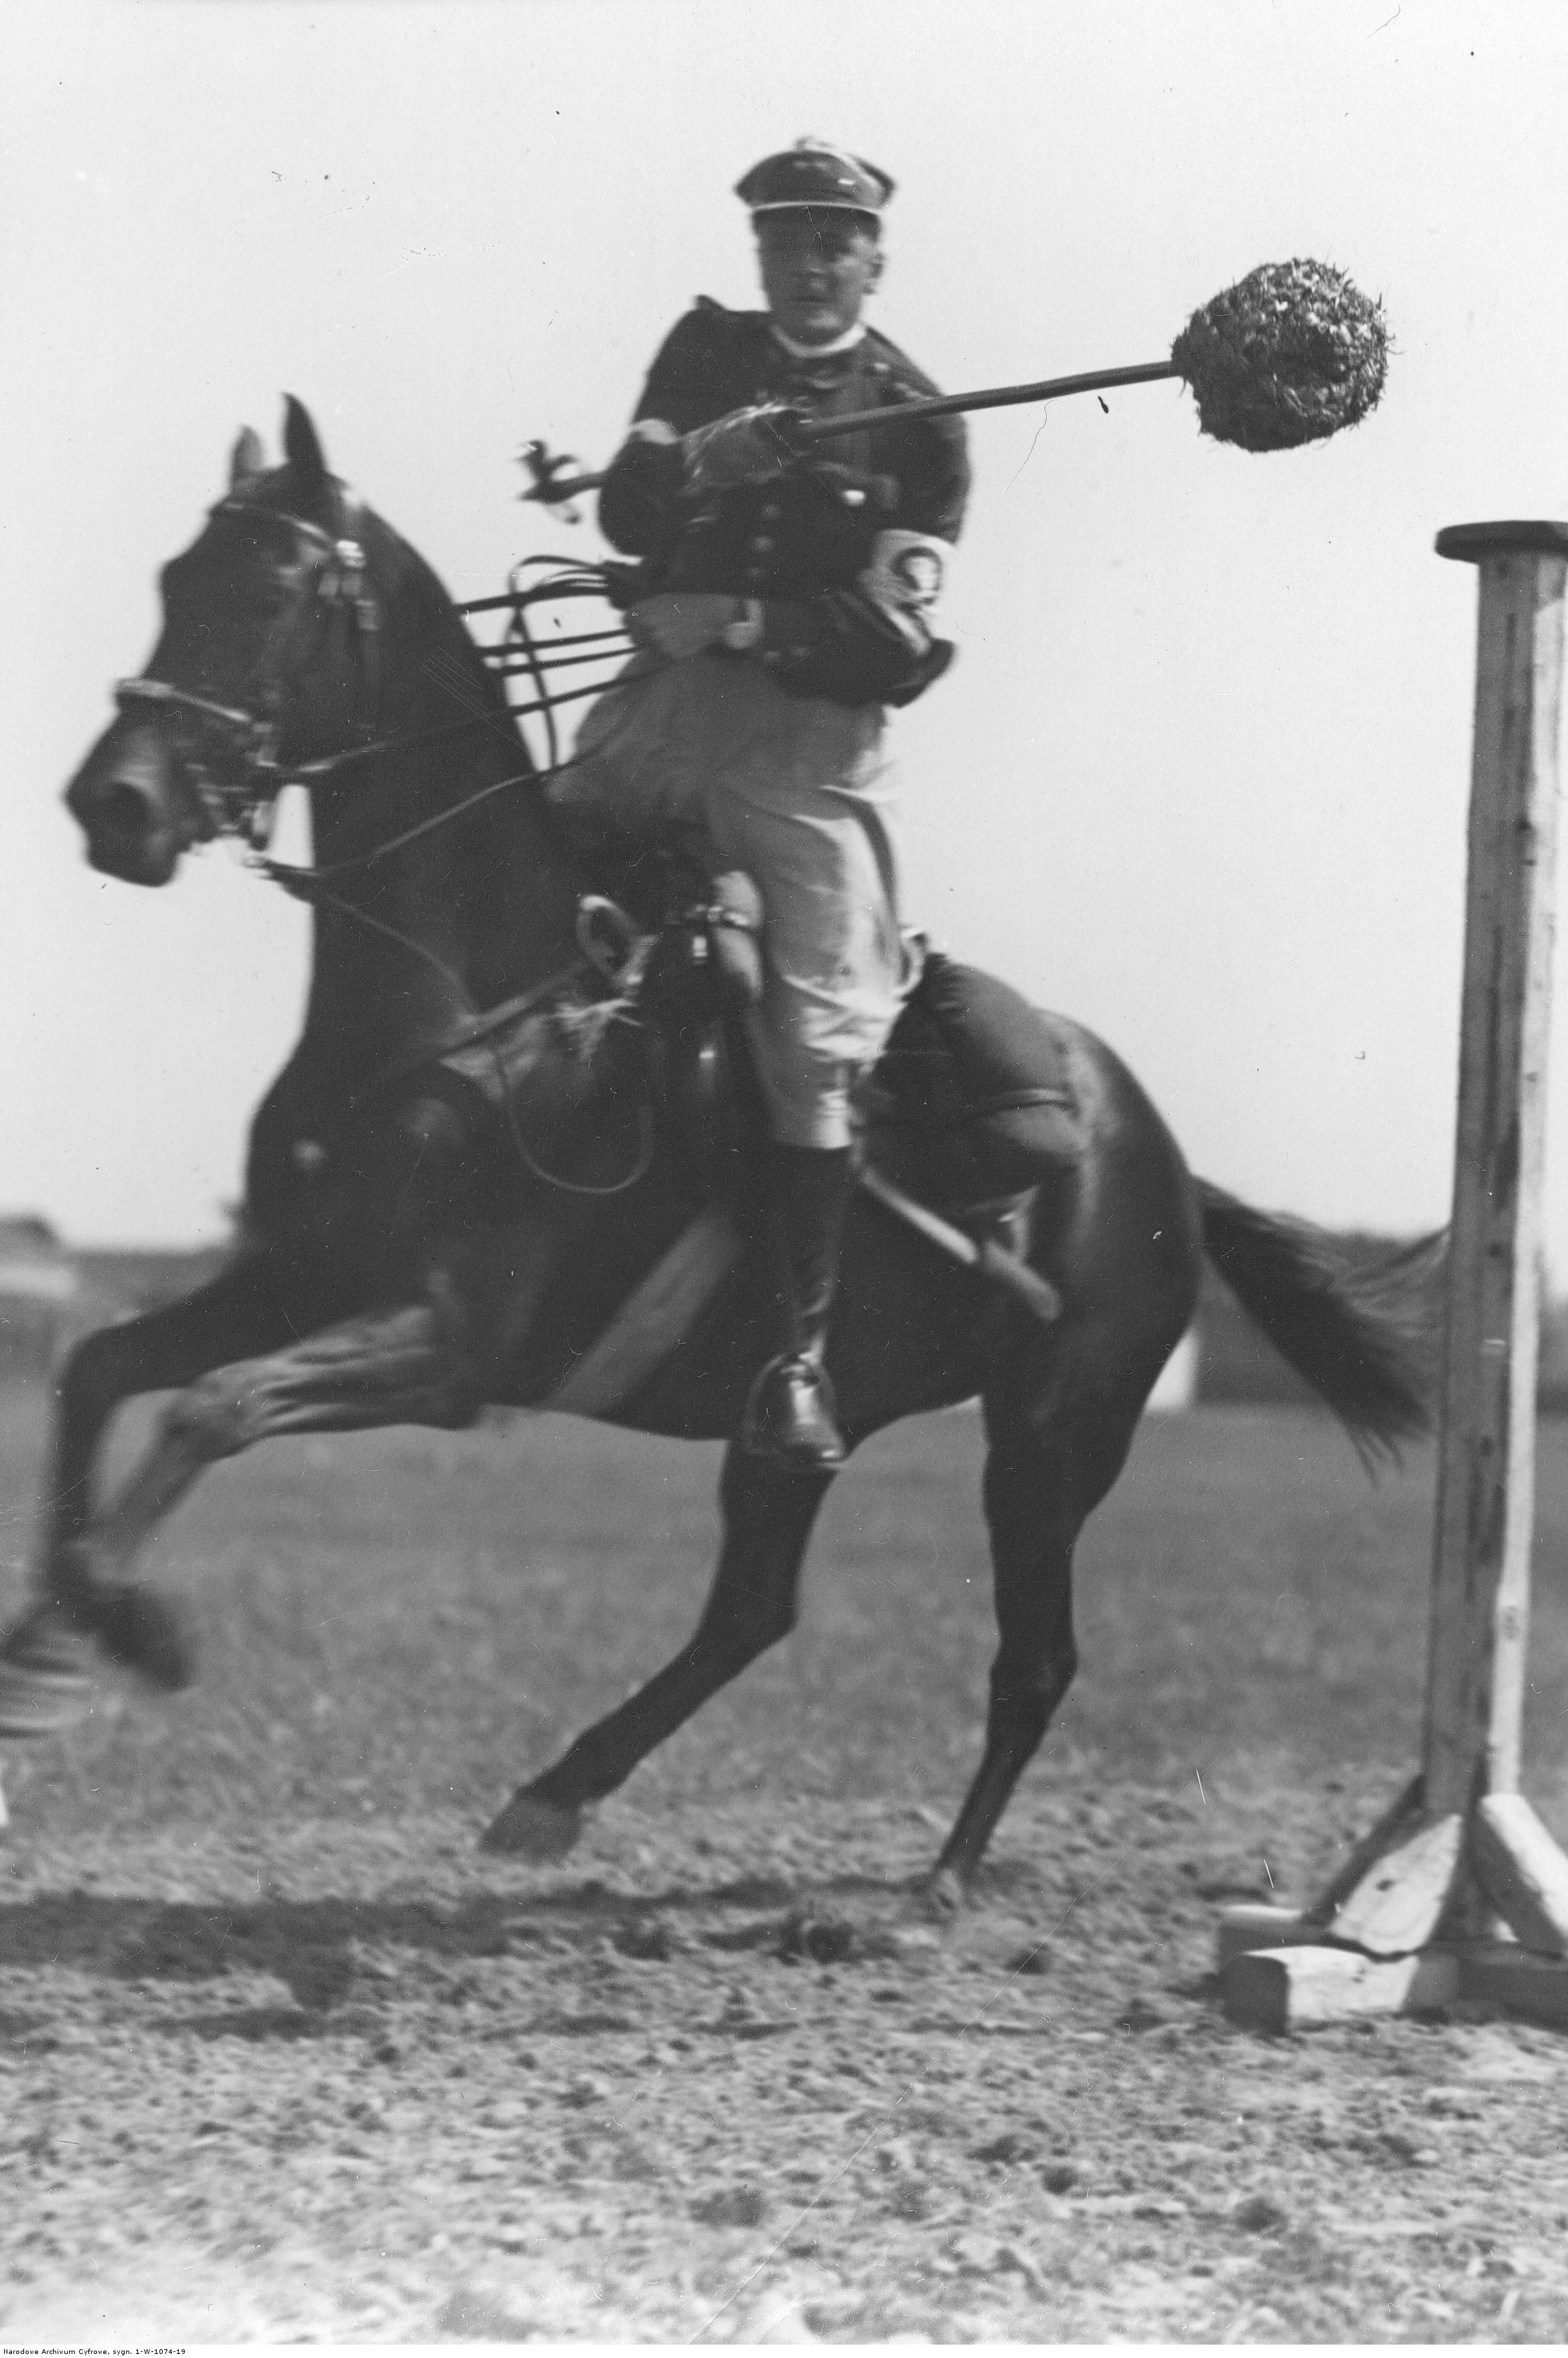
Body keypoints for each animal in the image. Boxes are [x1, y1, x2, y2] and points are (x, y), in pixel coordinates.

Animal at [6, 401, 1433, 1915]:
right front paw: (53, 1632)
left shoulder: (448, 1352)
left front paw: (122, 1635)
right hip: (803, 1445)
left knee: (1033, 1658)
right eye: (173, 579)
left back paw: (938, 1882)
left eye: (274, 591)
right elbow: (103, 1367)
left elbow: (213, 1408)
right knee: (754, 1608)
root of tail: (1163, 1162)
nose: (115, 805)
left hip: (1054, 1437)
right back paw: (558, 1792)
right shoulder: (299, 1276)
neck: (480, 1013)